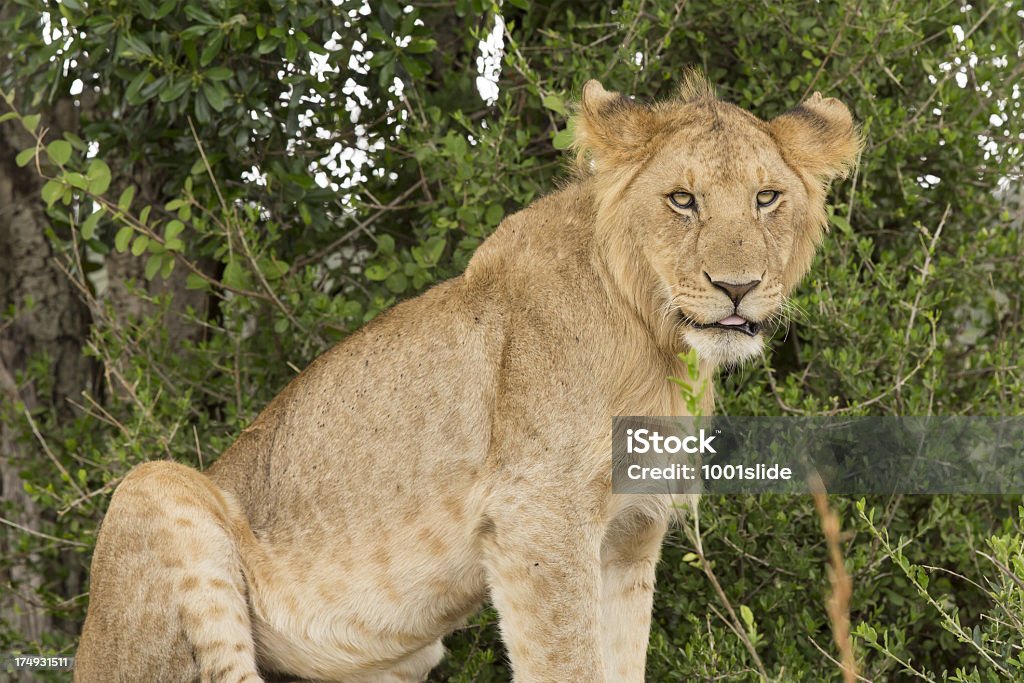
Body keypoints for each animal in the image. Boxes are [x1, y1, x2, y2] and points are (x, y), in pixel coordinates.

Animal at [74, 74, 856, 683]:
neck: (658, 343)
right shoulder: (537, 518)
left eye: (766, 198)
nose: (737, 287)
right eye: (682, 200)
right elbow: (568, 660)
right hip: (151, 487)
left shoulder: (629, 533)